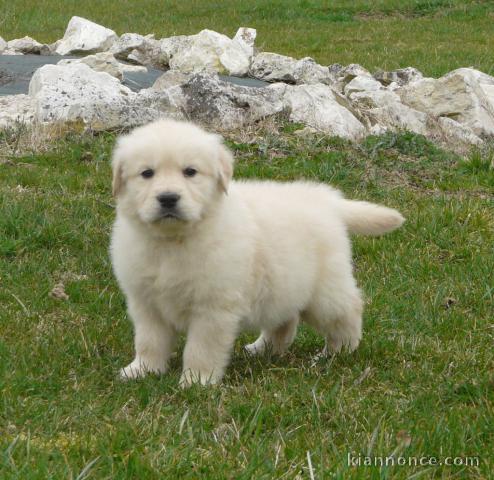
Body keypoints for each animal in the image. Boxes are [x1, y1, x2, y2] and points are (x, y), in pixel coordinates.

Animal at [110, 120, 404, 386]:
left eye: (190, 172)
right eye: (147, 173)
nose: (168, 198)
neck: (172, 241)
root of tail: (327, 201)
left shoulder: (213, 307)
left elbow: (201, 348)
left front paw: (196, 381)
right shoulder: (146, 302)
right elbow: (149, 341)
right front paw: (143, 370)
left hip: (324, 291)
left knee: (348, 310)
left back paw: (338, 352)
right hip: (282, 283)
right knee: (285, 320)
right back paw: (263, 349)